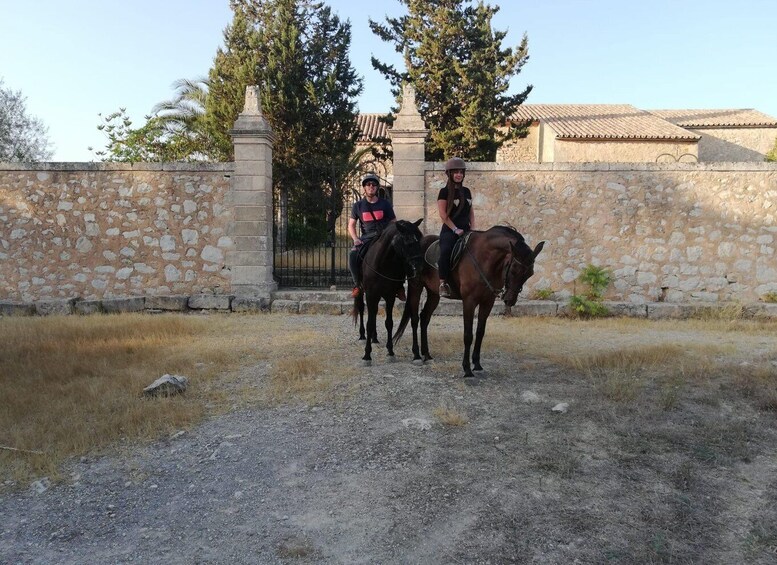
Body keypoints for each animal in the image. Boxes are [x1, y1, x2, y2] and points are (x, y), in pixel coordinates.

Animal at [354, 218, 424, 364]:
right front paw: (367, 355)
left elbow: (389, 323)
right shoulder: (371, 294)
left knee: (374, 314)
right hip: (363, 291)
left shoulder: (390, 296)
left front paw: (390, 351)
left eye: (419, 240)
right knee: (362, 309)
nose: (419, 266)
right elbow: (369, 323)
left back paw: (374, 337)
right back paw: (363, 335)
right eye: (408, 242)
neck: (383, 263)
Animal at [392, 226, 544, 378]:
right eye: (513, 270)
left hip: (434, 293)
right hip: (415, 287)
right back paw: (417, 355)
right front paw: (467, 369)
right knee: (415, 319)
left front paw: (477, 364)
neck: (485, 259)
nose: (510, 300)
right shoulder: (469, 301)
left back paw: (427, 355)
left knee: (424, 317)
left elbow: (480, 333)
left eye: (530, 274)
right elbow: (468, 335)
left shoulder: (487, 302)